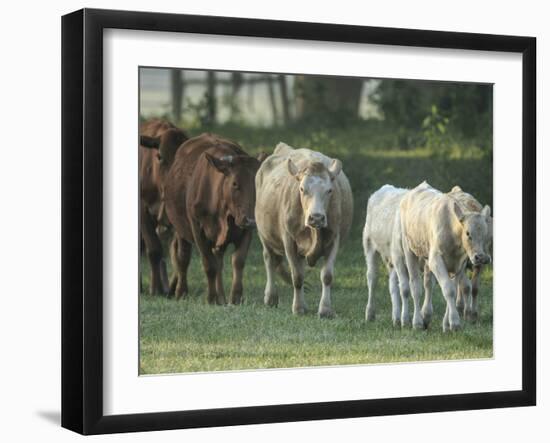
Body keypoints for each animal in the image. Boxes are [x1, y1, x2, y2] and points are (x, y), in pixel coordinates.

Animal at [140, 119, 190, 296]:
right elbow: (154, 250)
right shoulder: (143, 211)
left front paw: (179, 290)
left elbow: (180, 253)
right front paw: (155, 289)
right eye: (160, 156)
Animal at [164, 133, 260, 306]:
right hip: (180, 230)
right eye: (235, 183)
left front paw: (235, 298)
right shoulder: (197, 229)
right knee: (183, 258)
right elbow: (209, 265)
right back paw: (181, 292)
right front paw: (211, 298)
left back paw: (221, 296)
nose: (251, 220)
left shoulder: (246, 230)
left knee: (219, 260)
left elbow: (238, 261)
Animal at [258, 144, 356, 318]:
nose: (316, 218)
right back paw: (271, 297)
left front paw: (325, 309)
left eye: (330, 190)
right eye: (302, 189)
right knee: (269, 259)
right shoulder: (288, 240)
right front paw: (298, 308)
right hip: (264, 235)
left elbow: (327, 276)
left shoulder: (334, 238)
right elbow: (297, 276)